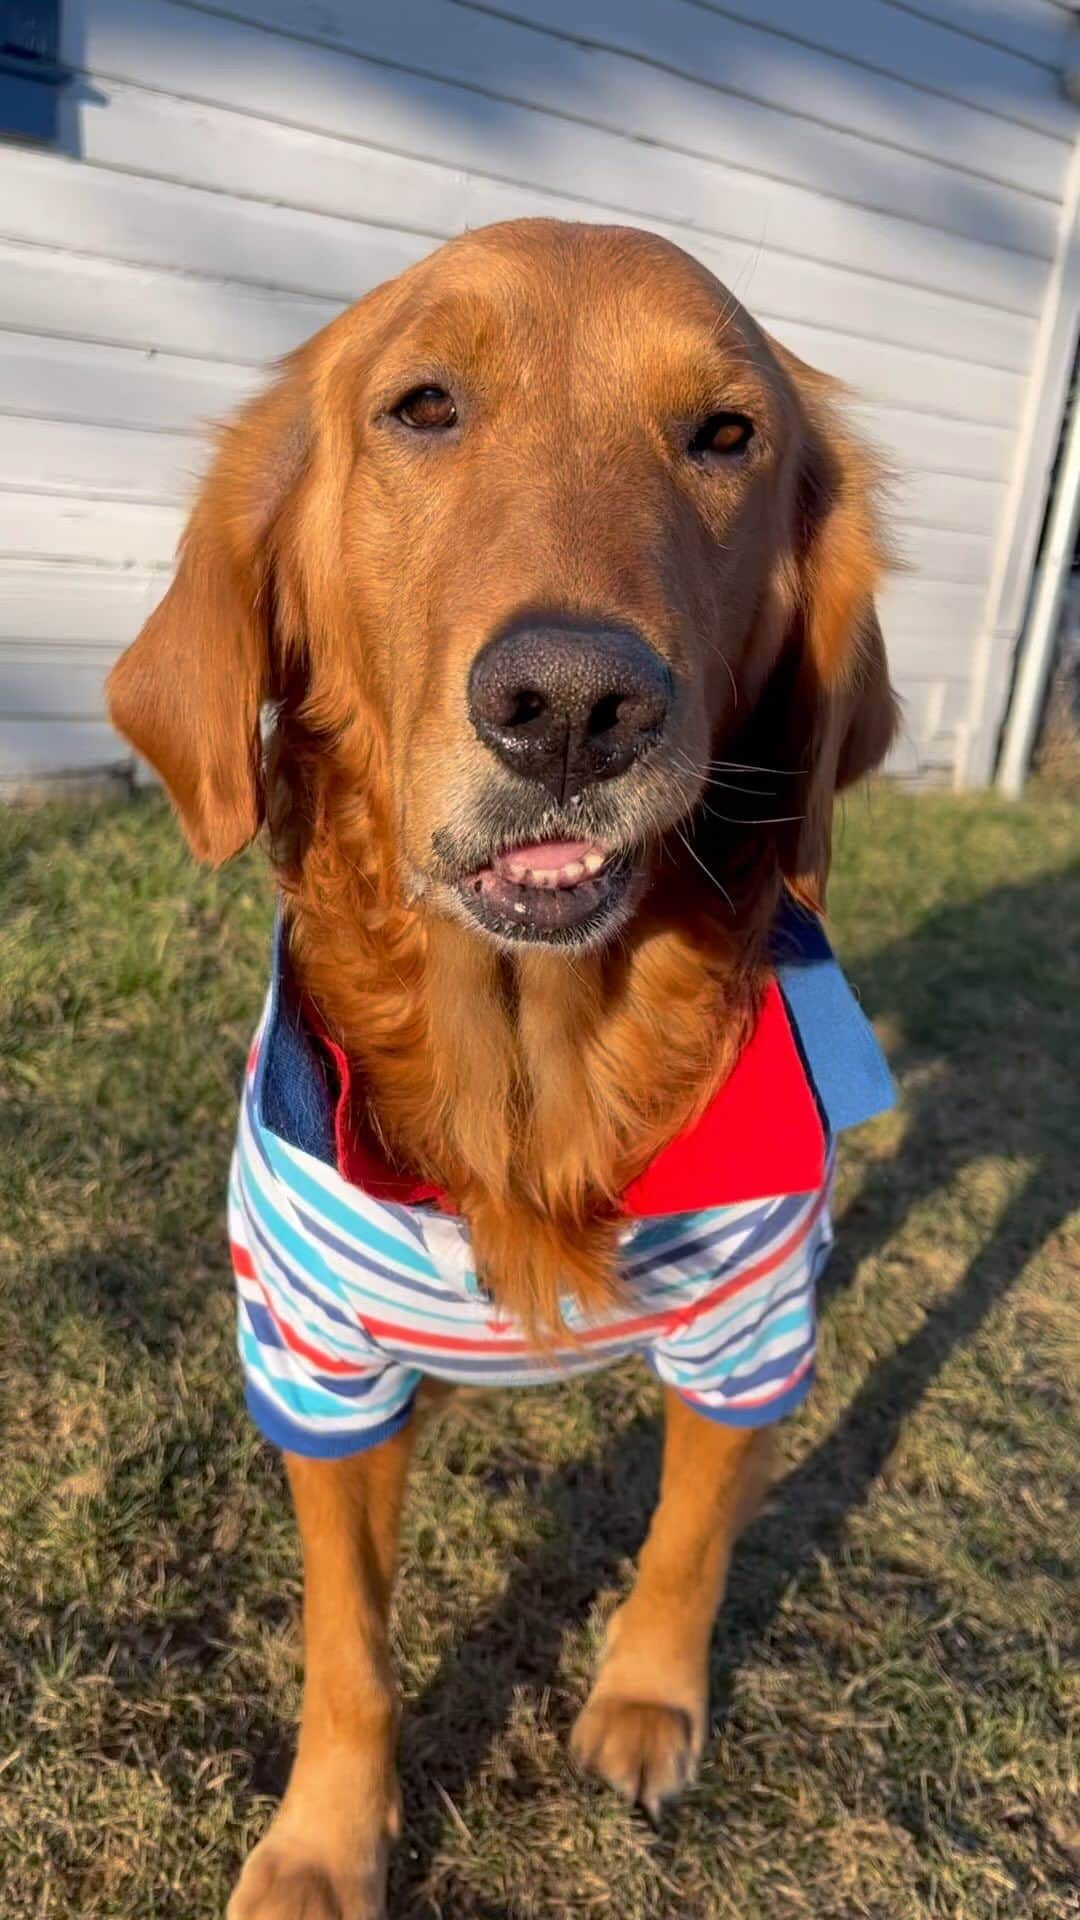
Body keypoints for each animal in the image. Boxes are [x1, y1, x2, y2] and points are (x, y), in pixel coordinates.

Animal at [105, 217, 895, 1912]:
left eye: (724, 435)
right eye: (424, 407)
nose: (574, 707)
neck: (531, 1065)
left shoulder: (749, 1333)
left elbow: (688, 1538)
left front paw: (648, 1700)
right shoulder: (317, 1363)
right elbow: (348, 1641)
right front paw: (324, 1842)